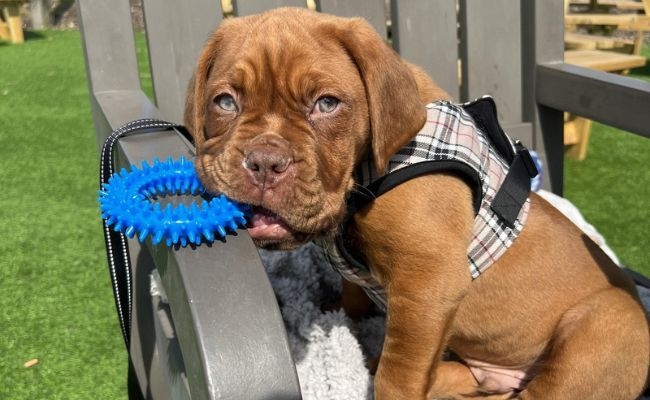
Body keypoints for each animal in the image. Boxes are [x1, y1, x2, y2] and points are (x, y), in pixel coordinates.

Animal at [184, 6, 648, 400]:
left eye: (326, 104)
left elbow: (399, 375)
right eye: (225, 101)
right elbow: (353, 293)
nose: (264, 162)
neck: (364, 177)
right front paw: (340, 313)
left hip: (601, 332)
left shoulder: (428, 285)